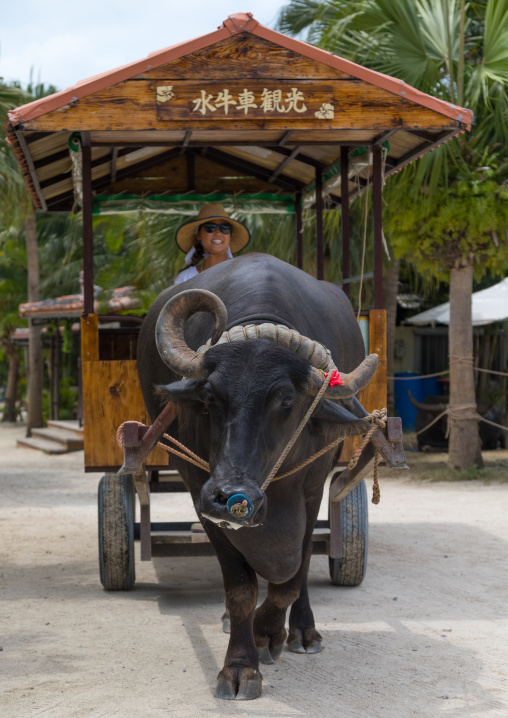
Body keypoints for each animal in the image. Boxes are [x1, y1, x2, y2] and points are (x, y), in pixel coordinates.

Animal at [137, 253, 394, 700]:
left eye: (286, 400)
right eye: (210, 396)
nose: (230, 495)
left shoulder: (312, 489)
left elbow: (292, 576)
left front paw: (268, 631)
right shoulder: (199, 491)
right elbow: (241, 588)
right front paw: (240, 665)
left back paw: (303, 632)